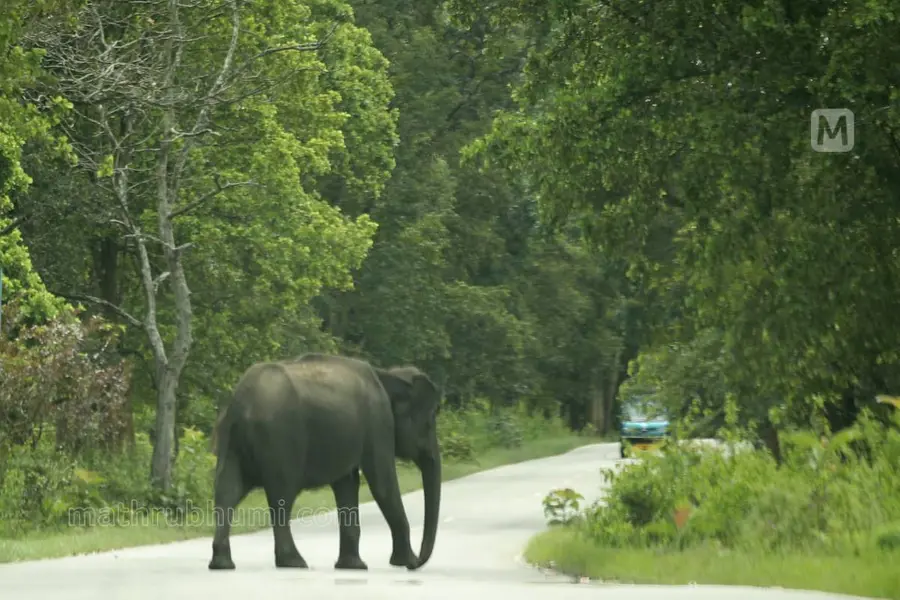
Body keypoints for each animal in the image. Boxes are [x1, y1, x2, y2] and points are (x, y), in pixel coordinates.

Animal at [207, 352, 442, 572]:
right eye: (429, 422)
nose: (417, 563)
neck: (387, 375)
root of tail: (240, 403)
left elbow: (347, 485)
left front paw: (353, 566)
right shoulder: (379, 421)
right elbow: (382, 483)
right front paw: (405, 562)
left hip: (230, 439)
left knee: (227, 490)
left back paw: (222, 564)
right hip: (279, 439)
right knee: (281, 496)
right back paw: (294, 562)